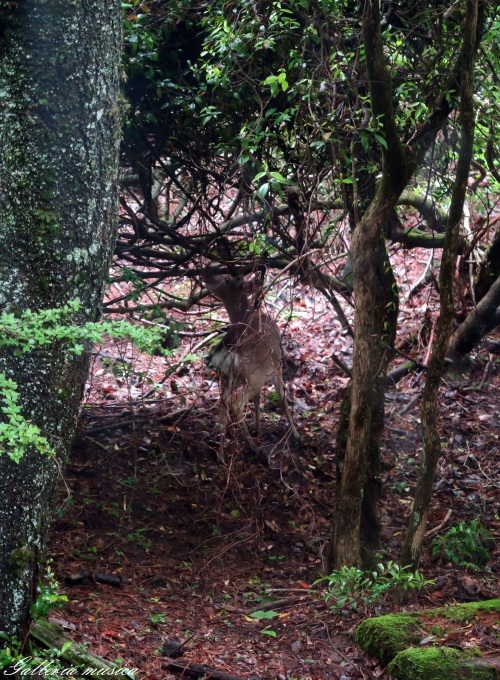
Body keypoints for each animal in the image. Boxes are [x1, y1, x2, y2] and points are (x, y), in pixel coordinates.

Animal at [204, 270, 300, 462]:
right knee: (236, 403)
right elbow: (283, 399)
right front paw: (296, 434)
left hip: (227, 378)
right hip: (254, 375)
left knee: (223, 406)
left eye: (226, 277)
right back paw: (254, 449)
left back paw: (221, 455)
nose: (206, 275)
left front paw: (258, 428)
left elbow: (257, 399)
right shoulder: (277, 367)